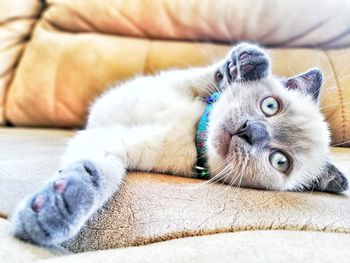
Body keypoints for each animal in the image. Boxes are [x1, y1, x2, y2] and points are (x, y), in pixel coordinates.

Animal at [10, 42, 348, 248]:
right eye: (270, 106)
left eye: (280, 161)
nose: (251, 132)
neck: (195, 131)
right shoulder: (171, 83)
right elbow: (210, 80)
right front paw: (247, 65)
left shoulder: (114, 146)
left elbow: (94, 178)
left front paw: (57, 208)